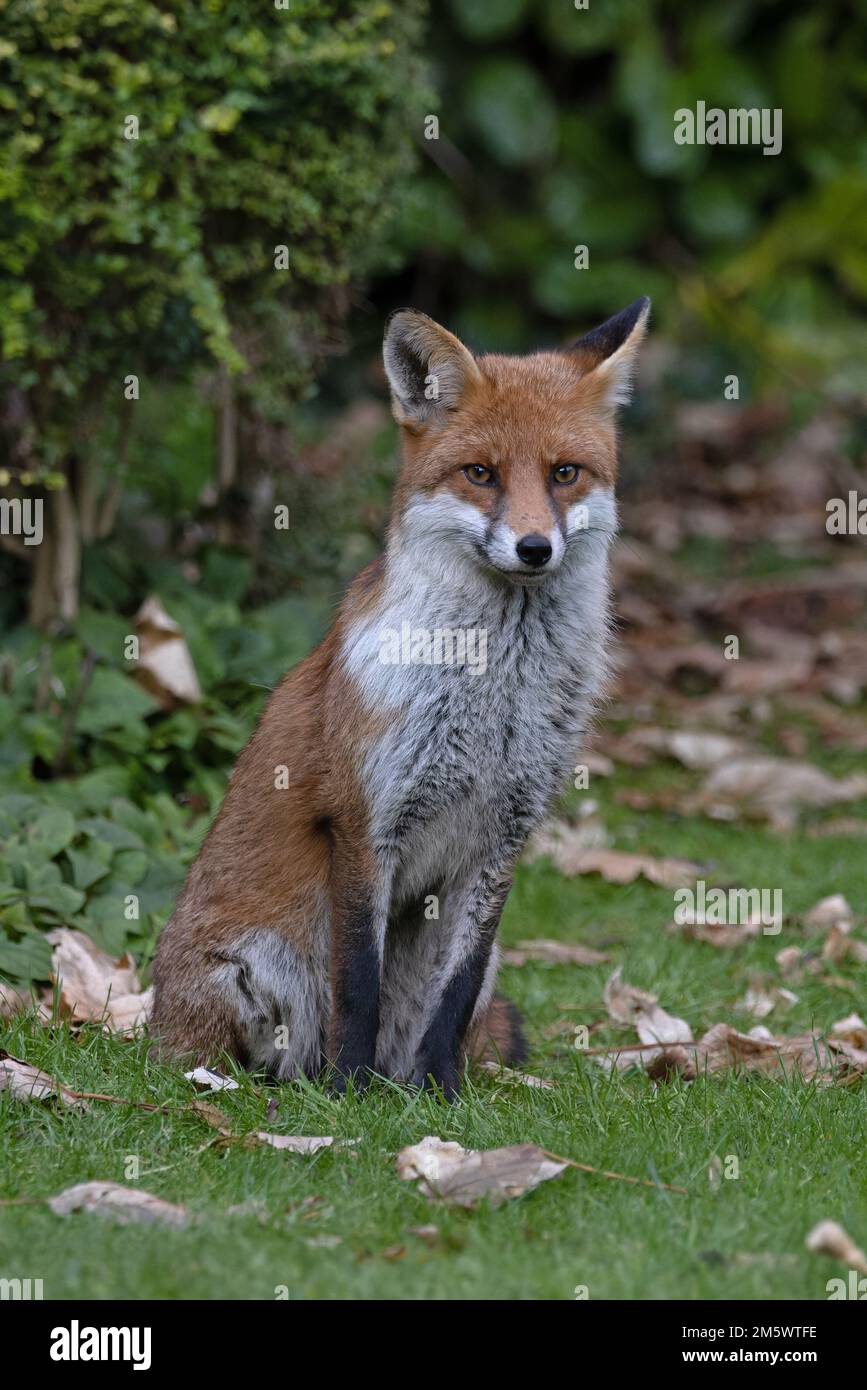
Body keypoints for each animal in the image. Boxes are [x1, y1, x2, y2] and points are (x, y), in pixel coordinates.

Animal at [150, 296, 651, 1098]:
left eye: (565, 473)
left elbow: (454, 991)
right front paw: (349, 1093)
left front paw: (441, 1093)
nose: (534, 548)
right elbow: (358, 982)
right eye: (480, 473)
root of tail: (150, 1023)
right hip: (259, 969)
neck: (493, 696)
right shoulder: (364, 821)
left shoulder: (502, 840)